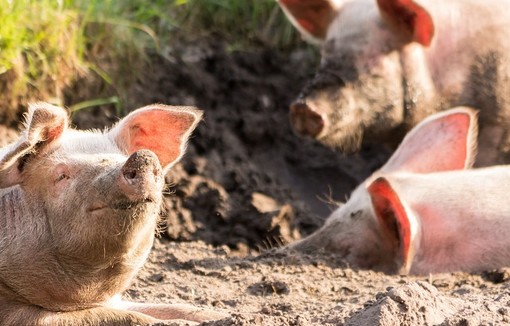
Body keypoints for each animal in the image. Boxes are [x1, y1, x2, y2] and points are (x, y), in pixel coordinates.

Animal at [0, 103, 225, 326]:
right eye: (62, 175)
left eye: (120, 158)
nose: (143, 157)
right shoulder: (17, 315)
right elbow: (118, 316)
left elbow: (172, 308)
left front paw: (218, 316)